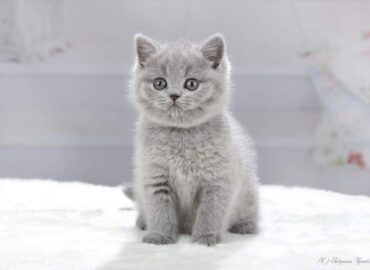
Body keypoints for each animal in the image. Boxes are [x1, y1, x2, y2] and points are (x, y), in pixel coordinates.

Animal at [129, 33, 258, 247]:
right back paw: (142, 221)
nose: (174, 95)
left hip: (248, 192)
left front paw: (205, 238)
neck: (181, 134)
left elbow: (210, 211)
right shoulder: (154, 177)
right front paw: (160, 236)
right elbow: (160, 210)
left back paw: (245, 226)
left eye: (191, 84)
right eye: (159, 83)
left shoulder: (218, 180)